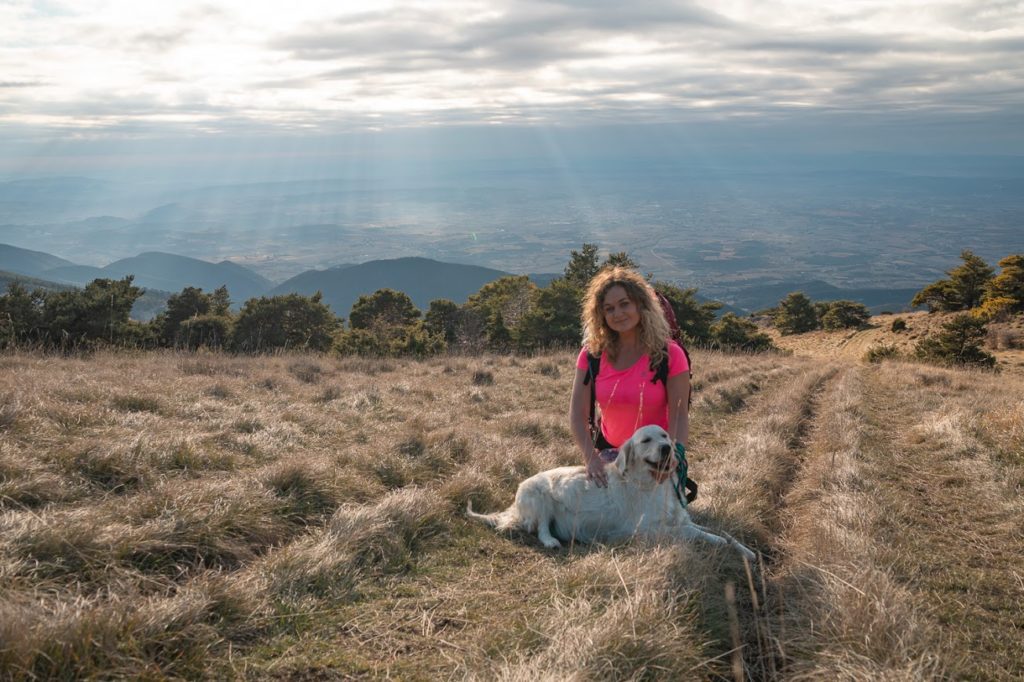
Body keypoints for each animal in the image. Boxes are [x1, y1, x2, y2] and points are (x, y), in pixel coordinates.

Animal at [468, 425, 757, 557]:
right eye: (646, 440)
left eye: (664, 436)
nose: (666, 448)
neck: (652, 485)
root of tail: (515, 503)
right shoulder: (650, 530)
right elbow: (702, 535)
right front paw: (722, 545)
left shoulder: (680, 520)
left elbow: (722, 533)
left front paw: (747, 551)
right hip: (539, 495)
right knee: (539, 529)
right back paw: (551, 541)